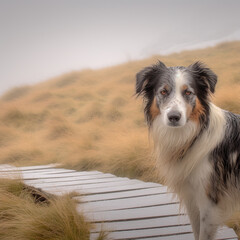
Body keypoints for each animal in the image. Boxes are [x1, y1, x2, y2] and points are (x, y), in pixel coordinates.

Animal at [136, 62, 240, 240]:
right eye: (163, 91)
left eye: (188, 92)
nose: (174, 117)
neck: (195, 134)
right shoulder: (191, 197)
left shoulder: (209, 204)